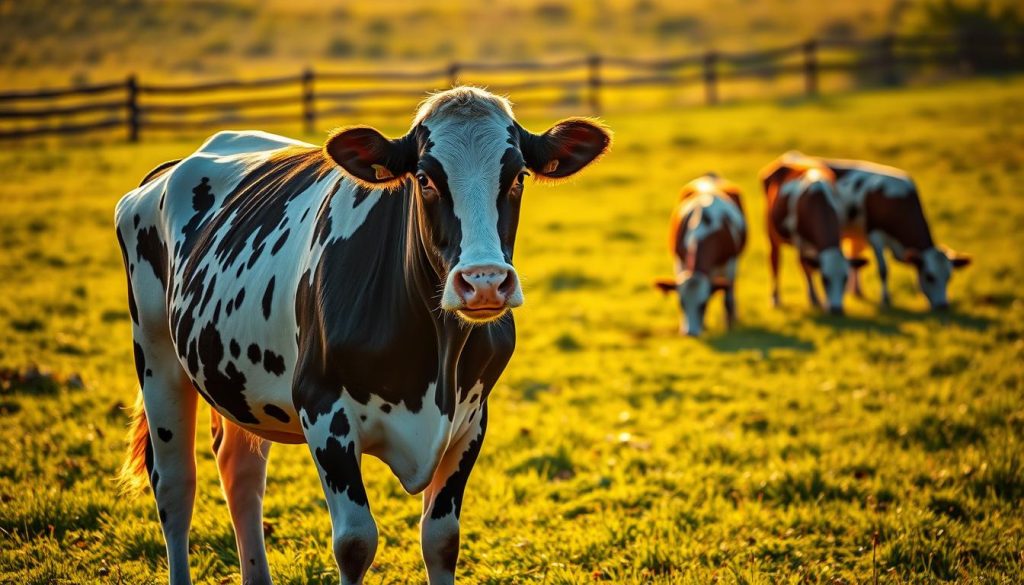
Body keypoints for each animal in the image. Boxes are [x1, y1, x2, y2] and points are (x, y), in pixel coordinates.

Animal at [114, 86, 611, 585]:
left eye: (518, 176)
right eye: (425, 179)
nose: (484, 281)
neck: (435, 357)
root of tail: (169, 169)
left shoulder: (472, 418)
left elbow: (442, 540)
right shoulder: (322, 409)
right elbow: (355, 543)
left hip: (236, 380)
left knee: (241, 473)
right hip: (157, 357)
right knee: (175, 486)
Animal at [654, 173, 746, 336]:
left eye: (703, 304)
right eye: (681, 303)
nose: (690, 332)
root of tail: (711, 175)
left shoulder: (731, 261)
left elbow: (728, 299)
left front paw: (730, 327)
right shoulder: (679, 261)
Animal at [759, 152, 868, 314]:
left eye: (845, 279)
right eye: (825, 279)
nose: (836, 309)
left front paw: (819, 299)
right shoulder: (799, 238)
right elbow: (805, 266)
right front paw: (814, 298)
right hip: (772, 233)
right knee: (775, 260)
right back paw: (776, 298)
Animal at [810, 155, 971, 310]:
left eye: (949, 277)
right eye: (929, 277)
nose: (943, 306)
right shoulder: (874, 235)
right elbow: (883, 270)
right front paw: (885, 300)